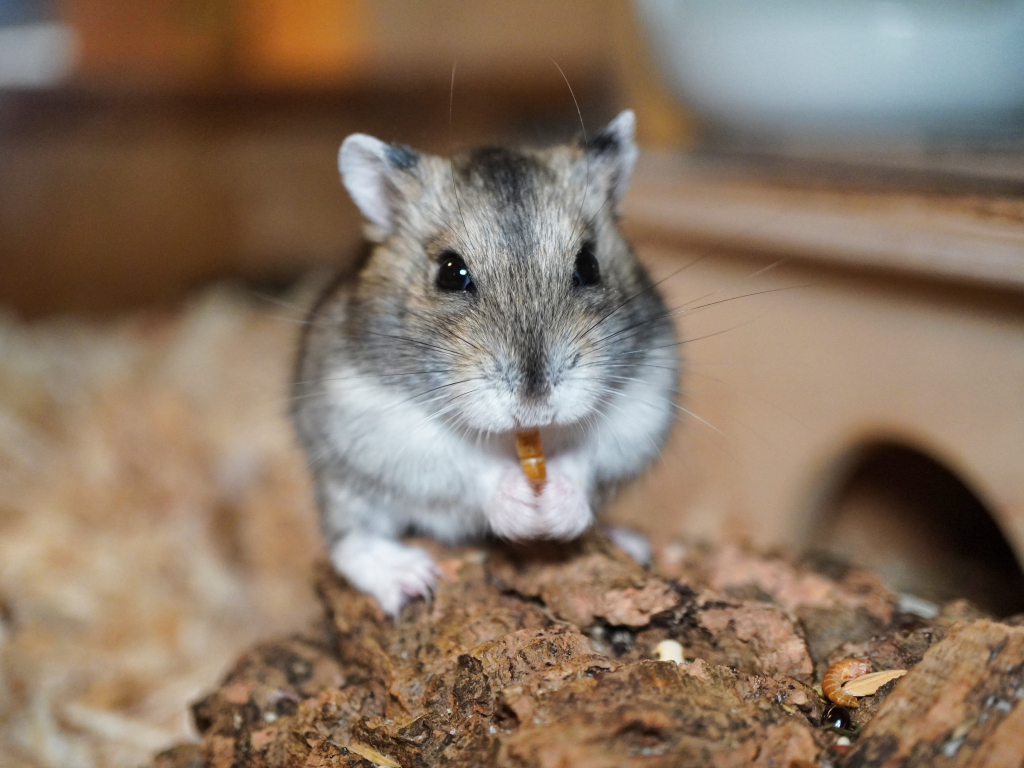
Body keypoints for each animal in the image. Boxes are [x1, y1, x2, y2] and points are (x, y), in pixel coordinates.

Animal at [292, 111, 675, 618]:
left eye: (589, 264)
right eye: (450, 273)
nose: (535, 404)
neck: (521, 440)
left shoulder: (643, 402)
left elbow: (584, 461)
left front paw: (551, 507)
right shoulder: (382, 421)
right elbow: (470, 469)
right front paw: (523, 505)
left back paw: (627, 542)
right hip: (343, 478)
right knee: (349, 539)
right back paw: (410, 579)